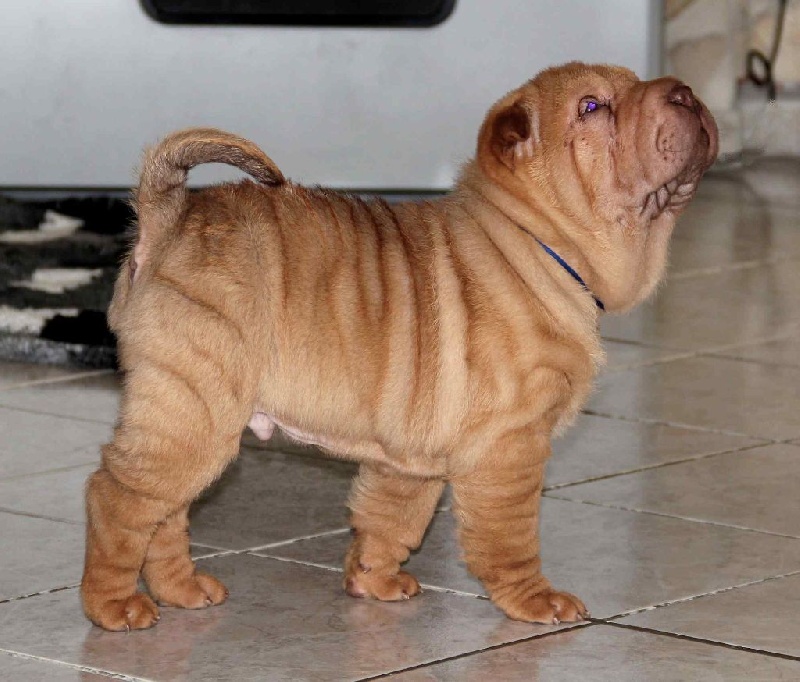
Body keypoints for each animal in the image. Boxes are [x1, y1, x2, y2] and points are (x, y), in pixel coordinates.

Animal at [81, 62, 718, 631]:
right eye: (591, 107)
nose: (685, 92)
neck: (534, 242)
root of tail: (168, 218)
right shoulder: (510, 447)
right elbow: (509, 537)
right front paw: (536, 600)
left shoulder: (412, 451)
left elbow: (390, 517)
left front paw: (373, 581)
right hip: (197, 410)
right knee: (116, 496)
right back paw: (114, 606)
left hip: (187, 417)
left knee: (163, 512)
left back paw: (182, 590)